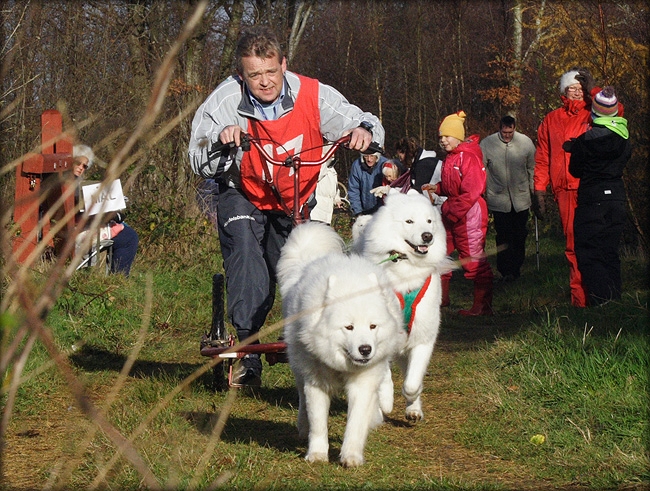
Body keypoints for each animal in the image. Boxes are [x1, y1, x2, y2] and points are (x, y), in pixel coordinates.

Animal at [274, 221, 404, 468]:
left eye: (372, 326)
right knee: (302, 400)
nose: (365, 349)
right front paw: (316, 454)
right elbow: (318, 424)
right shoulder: (316, 383)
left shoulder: (363, 383)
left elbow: (355, 423)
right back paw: (302, 427)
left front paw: (351, 456)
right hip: (299, 368)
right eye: (349, 327)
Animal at [354, 192, 450, 422]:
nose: (427, 236)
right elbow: (384, 378)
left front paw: (412, 399)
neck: (406, 268)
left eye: (429, 221)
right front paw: (386, 400)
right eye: (409, 221)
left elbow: (412, 381)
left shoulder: (423, 338)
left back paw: (413, 409)